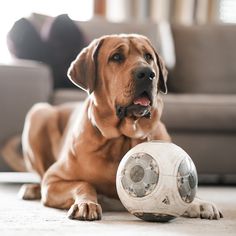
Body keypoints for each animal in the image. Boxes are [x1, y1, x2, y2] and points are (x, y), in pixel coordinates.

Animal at [19, 34, 222, 220]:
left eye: (148, 56)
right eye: (116, 57)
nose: (147, 73)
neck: (123, 137)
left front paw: (198, 203)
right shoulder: (54, 179)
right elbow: (83, 184)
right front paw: (87, 203)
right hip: (38, 113)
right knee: (40, 174)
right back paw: (31, 189)